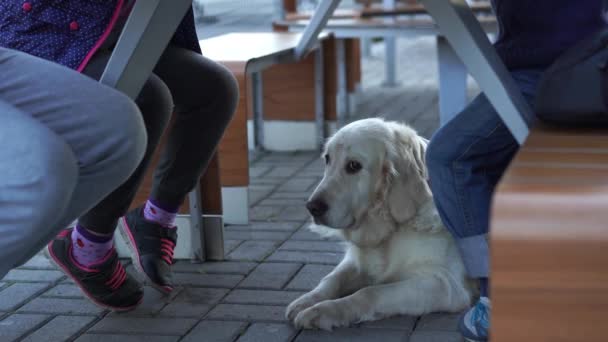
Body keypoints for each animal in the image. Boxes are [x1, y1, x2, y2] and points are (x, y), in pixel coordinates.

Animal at [284, 118, 476, 332]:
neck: (389, 228)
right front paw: (308, 301)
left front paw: (326, 311)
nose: (312, 207)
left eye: (353, 165)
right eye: (327, 159)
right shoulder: (355, 262)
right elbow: (332, 279)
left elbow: (370, 292)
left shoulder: (445, 285)